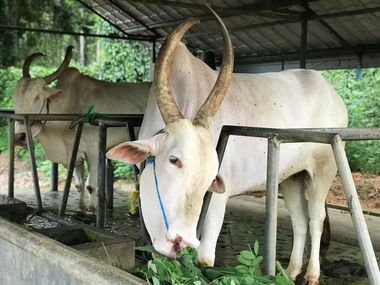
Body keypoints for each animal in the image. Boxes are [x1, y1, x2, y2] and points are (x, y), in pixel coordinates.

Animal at [10, 46, 150, 211]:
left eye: (37, 97)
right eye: (14, 98)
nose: (19, 137)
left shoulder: (94, 153)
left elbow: (90, 185)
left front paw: (92, 209)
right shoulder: (74, 156)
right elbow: (79, 185)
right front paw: (81, 207)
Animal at [106, 10, 348, 282]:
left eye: (212, 176)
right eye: (174, 159)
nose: (182, 241)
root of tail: (333, 94)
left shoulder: (216, 204)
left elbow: (204, 260)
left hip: (325, 168)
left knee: (316, 219)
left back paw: (312, 275)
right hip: (291, 177)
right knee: (300, 221)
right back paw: (290, 272)